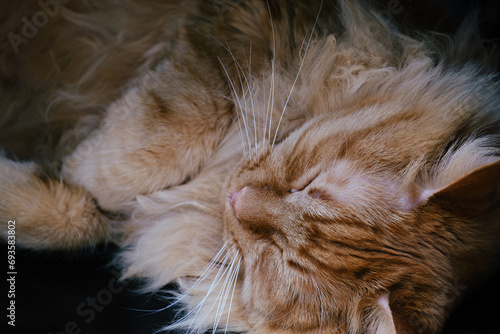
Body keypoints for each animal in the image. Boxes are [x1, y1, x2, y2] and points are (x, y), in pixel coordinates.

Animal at [0, 0, 500, 332]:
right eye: (309, 185)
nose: (236, 199)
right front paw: (77, 169)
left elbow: (87, 218)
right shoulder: (224, 34)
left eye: (276, 260)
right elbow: (158, 142)